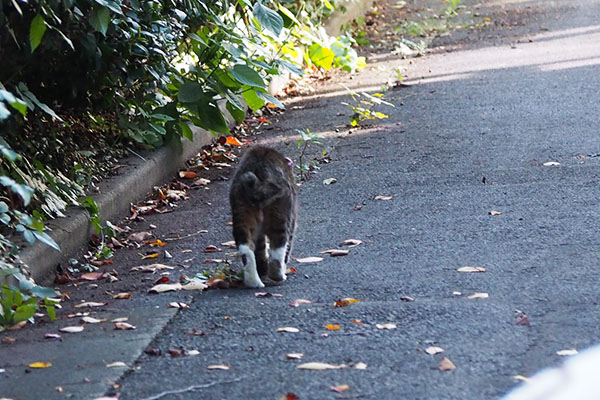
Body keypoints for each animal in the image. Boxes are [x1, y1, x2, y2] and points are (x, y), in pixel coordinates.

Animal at [229, 145, 298, 290]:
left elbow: (259, 250)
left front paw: (262, 269)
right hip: (282, 211)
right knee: (278, 247)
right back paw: (278, 276)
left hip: (242, 211)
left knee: (246, 249)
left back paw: (254, 282)